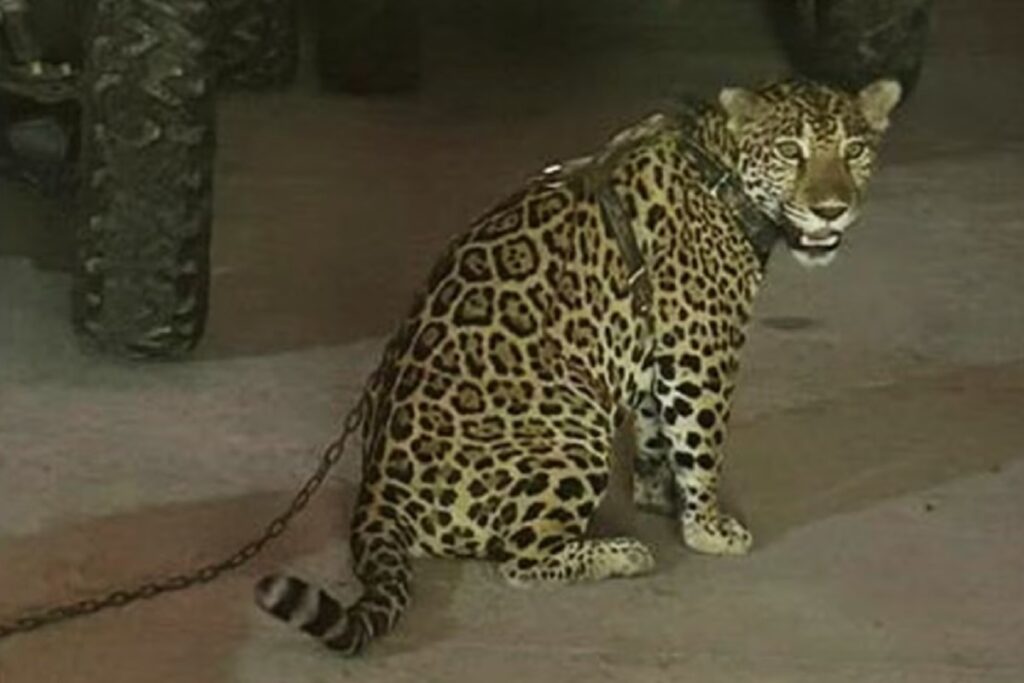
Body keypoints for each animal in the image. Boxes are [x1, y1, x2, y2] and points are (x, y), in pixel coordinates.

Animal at [254, 77, 902, 654]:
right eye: (791, 151)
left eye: (855, 150)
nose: (830, 210)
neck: (722, 170)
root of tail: (375, 493)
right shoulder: (701, 348)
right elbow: (701, 442)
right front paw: (708, 527)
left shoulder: (656, 348)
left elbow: (656, 432)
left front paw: (657, 496)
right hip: (572, 433)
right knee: (519, 560)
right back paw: (620, 553)